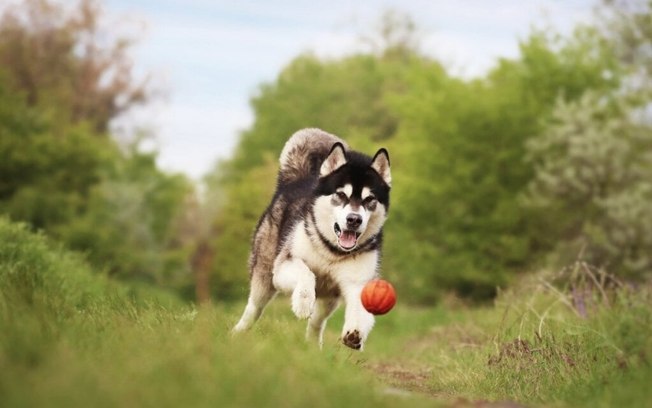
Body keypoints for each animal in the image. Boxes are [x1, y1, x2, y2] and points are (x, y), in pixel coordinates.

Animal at [233, 128, 392, 350]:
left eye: (370, 199)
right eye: (341, 195)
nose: (354, 220)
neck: (332, 252)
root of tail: (297, 179)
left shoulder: (358, 282)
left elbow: (361, 308)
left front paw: (355, 332)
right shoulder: (284, 265)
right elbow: (305, 273)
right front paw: (302, 303)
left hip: (329, 299)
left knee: (317, 322)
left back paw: (312, 347)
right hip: (265, 275)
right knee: (254, 308)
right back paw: (236, 333)